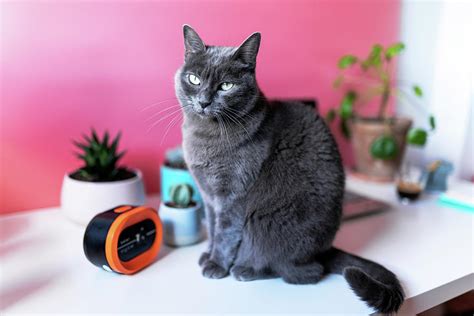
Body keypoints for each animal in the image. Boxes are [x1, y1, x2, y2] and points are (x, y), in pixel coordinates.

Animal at [174, 25, 404, 314]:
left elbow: (225, 233)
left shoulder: (232, 197)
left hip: (266, 225)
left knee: (306, 272)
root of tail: (324, 250)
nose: (204, 101)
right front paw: (208, 254)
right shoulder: (208, 197)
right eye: (193, 79)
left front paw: (216, 265)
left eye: (226, 86)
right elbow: (214, 229)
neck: (204, 136)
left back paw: (245, 269)